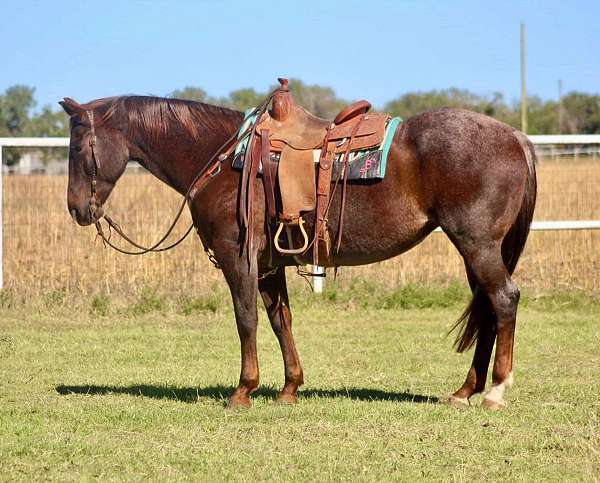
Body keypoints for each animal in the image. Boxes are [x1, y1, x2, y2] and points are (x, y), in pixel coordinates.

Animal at [61, 92, 536, 410]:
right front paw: (289, 388)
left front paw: (243, 390)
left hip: (477, 244)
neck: (223, 158)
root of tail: (515, 137)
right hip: (476, 249)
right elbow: (280, 320)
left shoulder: (239, 258)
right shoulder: (271, 265)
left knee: (503, 300)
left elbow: (246, 319)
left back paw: (495, 391)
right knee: (487, 307)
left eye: (78, 146)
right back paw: (465, 391)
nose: (77, 209)